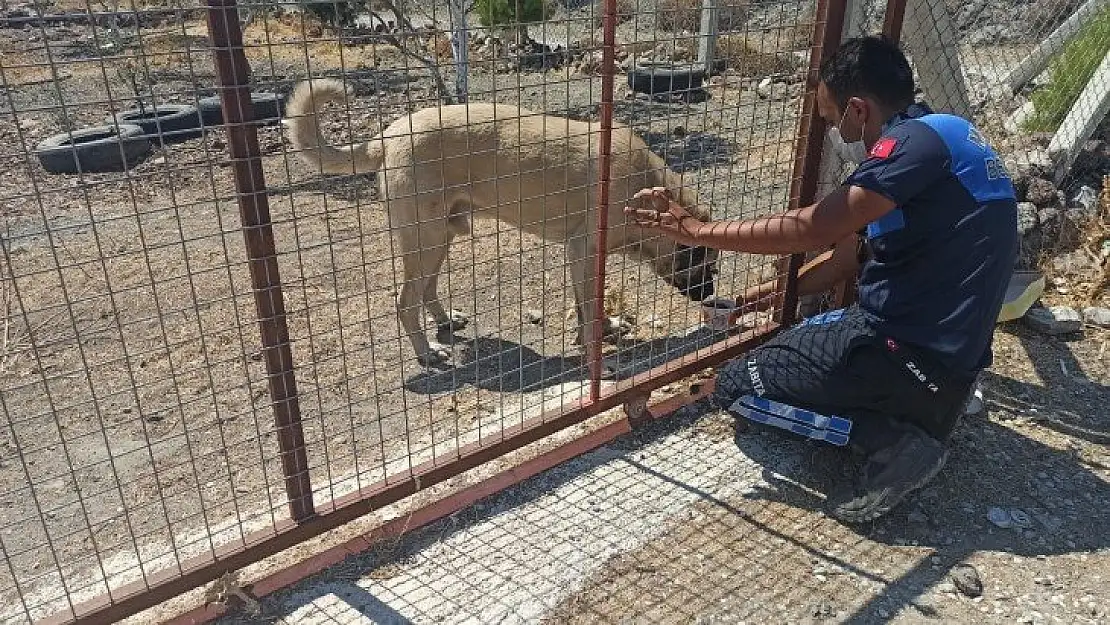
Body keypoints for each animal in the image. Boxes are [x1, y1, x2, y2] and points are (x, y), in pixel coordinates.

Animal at [286, 79, 719, 368]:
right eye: (707, 265)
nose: (711, 297)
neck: (646, 190)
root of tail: (388, 135)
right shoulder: (584, 251)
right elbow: (590, 308)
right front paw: (597, 346)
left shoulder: (581, 257)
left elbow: (586, 307)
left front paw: (601, 330)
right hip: (427, 240)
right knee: (405, 301)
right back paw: (427, 352)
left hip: (441, 236)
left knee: (426, 290)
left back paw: (445, 321)